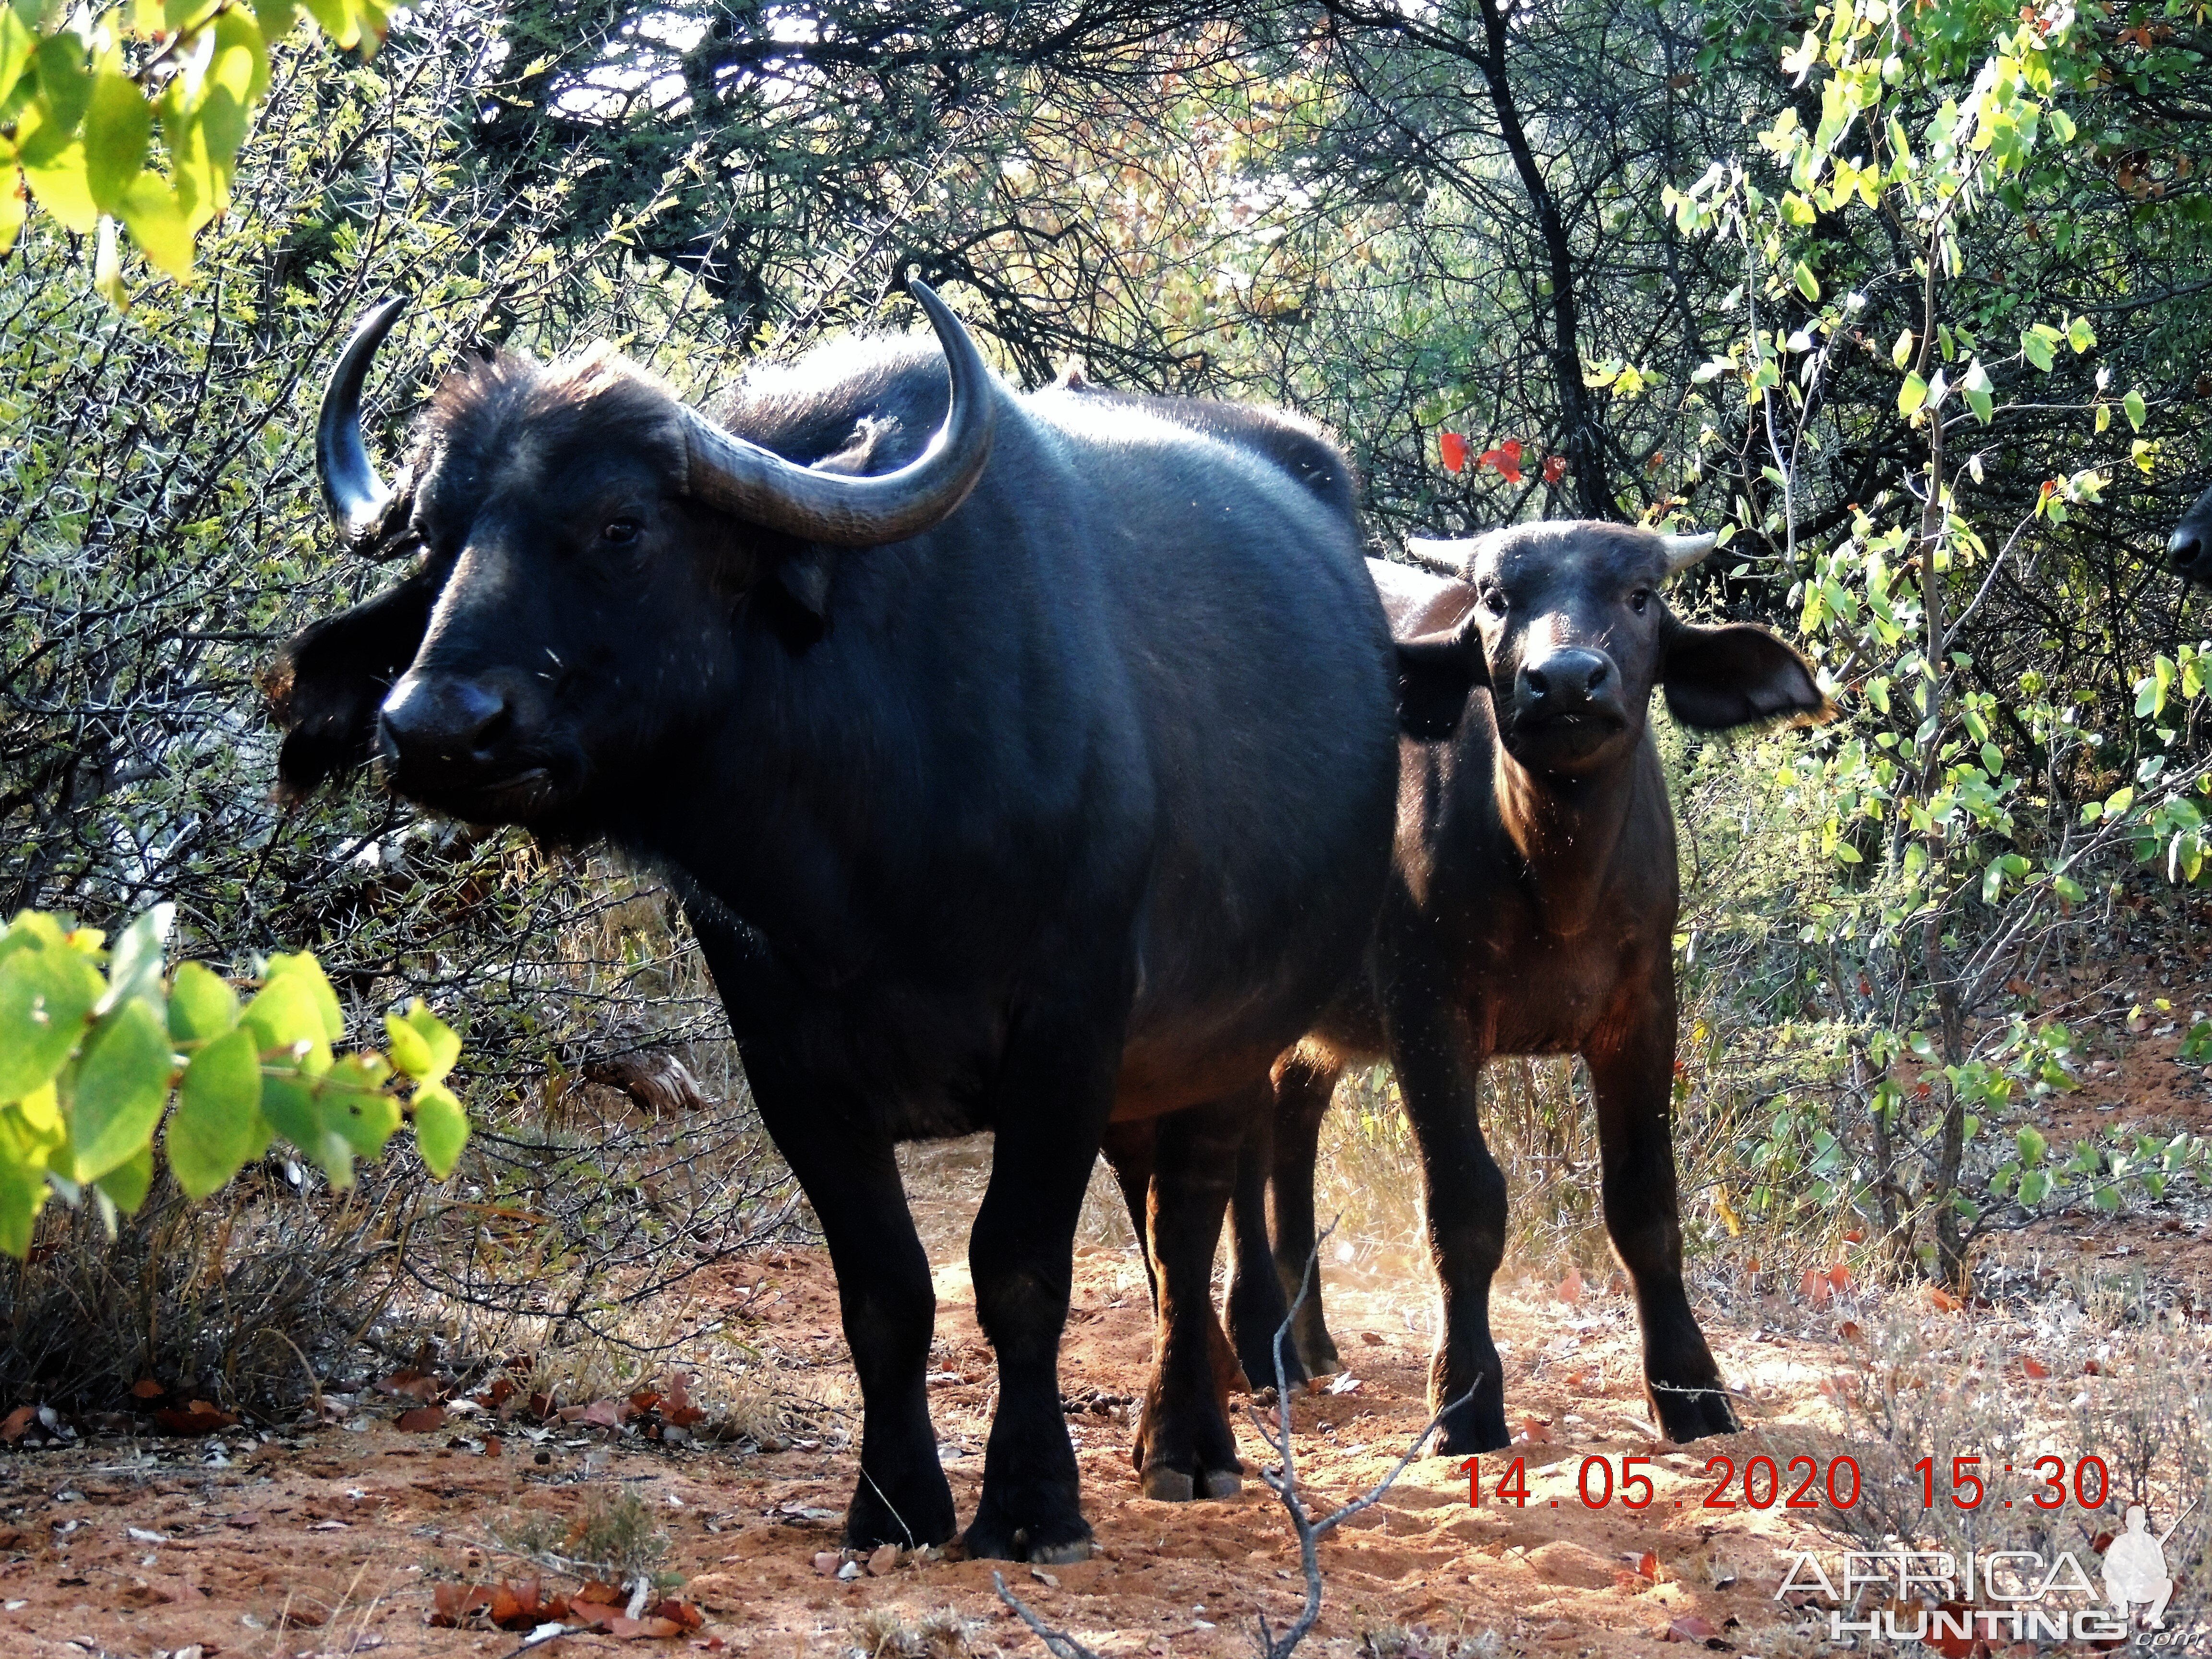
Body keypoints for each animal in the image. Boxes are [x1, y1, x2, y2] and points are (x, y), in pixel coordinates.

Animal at [263, 289, 1398, 1575]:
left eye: (620, 525)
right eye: (434, 538)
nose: (438, 726)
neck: (866, 850)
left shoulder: (1069, 1025)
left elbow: (1019, 1267)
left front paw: (1031, 1503)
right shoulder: (791, 1061)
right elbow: (886, 1289)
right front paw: (896, 1501)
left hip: (1231, 1039)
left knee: (1192, 1213)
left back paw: (1190, 1441)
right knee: (1158, 1219)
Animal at [1238, 529, 1840, 1451]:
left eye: (1639, 595)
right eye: (1496, 599)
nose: (1564, 679)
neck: (1554, 876)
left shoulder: (1643, 1009)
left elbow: (1644, 1204)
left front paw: (1690, 1390)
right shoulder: (1427, 1014)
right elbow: (1464, 1206)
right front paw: (1464, 1397)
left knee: (1289, 1131)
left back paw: (1303, 1345)